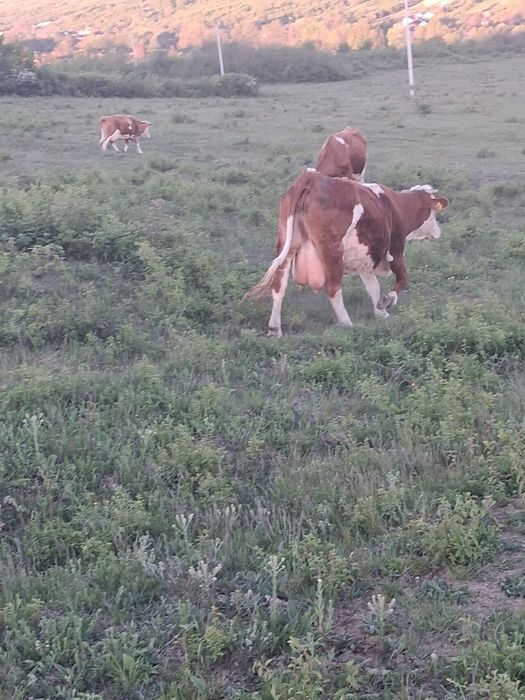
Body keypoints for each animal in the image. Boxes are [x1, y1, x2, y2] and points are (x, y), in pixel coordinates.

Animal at [243, 171, 448, 336]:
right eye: (433, 214)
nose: (438, 232)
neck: (396, 206)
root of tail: (311, 178)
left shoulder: (366, 262)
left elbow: (373, 287)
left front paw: (380, 312)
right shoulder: (395, 252)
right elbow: (401, 279)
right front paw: (386, 302)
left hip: (287, 243)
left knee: (279, 285)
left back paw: (274, 328)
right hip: (332, 250)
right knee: (333, 288)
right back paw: (347, 323)